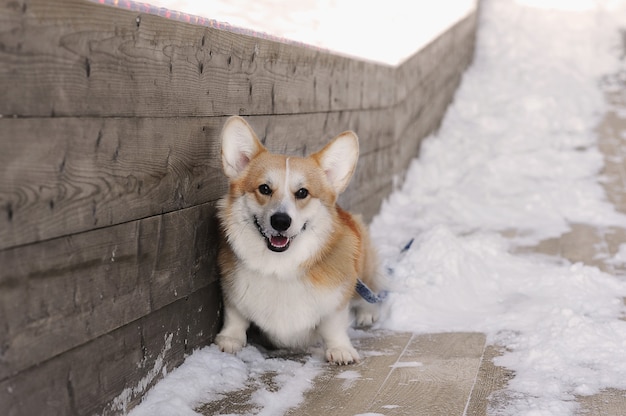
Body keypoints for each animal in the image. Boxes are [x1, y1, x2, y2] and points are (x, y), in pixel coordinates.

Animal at [212, 116, 382, 364]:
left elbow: (333, 325)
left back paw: (368, 313)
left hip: (363, 262)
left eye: (302, 193)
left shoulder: (338, 299)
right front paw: (230, 339)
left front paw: (340, 349)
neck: (279, 267)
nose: (280, 221)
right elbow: (236, 315)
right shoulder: (232, 292)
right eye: (264, 188)